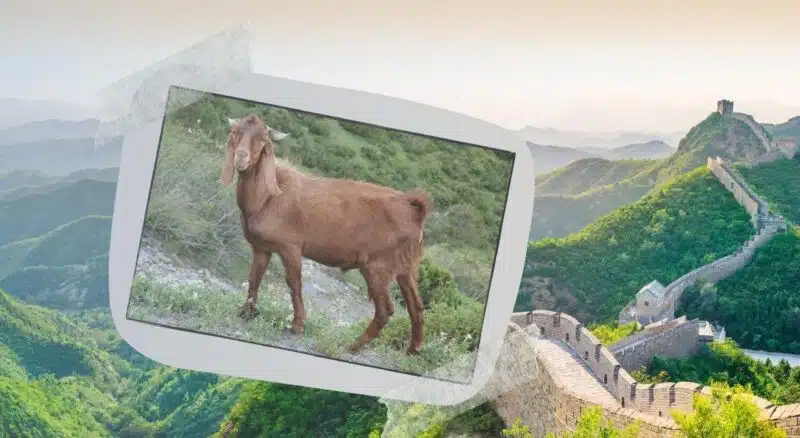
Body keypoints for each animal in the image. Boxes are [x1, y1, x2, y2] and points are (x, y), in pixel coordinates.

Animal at [218, 114, 433, 355]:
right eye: (235, 132)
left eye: (264, 139)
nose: (241, 157)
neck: (267, 197)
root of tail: (413, 210)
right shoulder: (262, 247)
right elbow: (254, 277)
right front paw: (245, 312)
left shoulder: (290, 247)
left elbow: (294, 283)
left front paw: (297, 326)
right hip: (405, 266)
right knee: (416, 305)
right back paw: (413, 349)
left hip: (378, 265)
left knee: (386, 309)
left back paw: (353, 346)